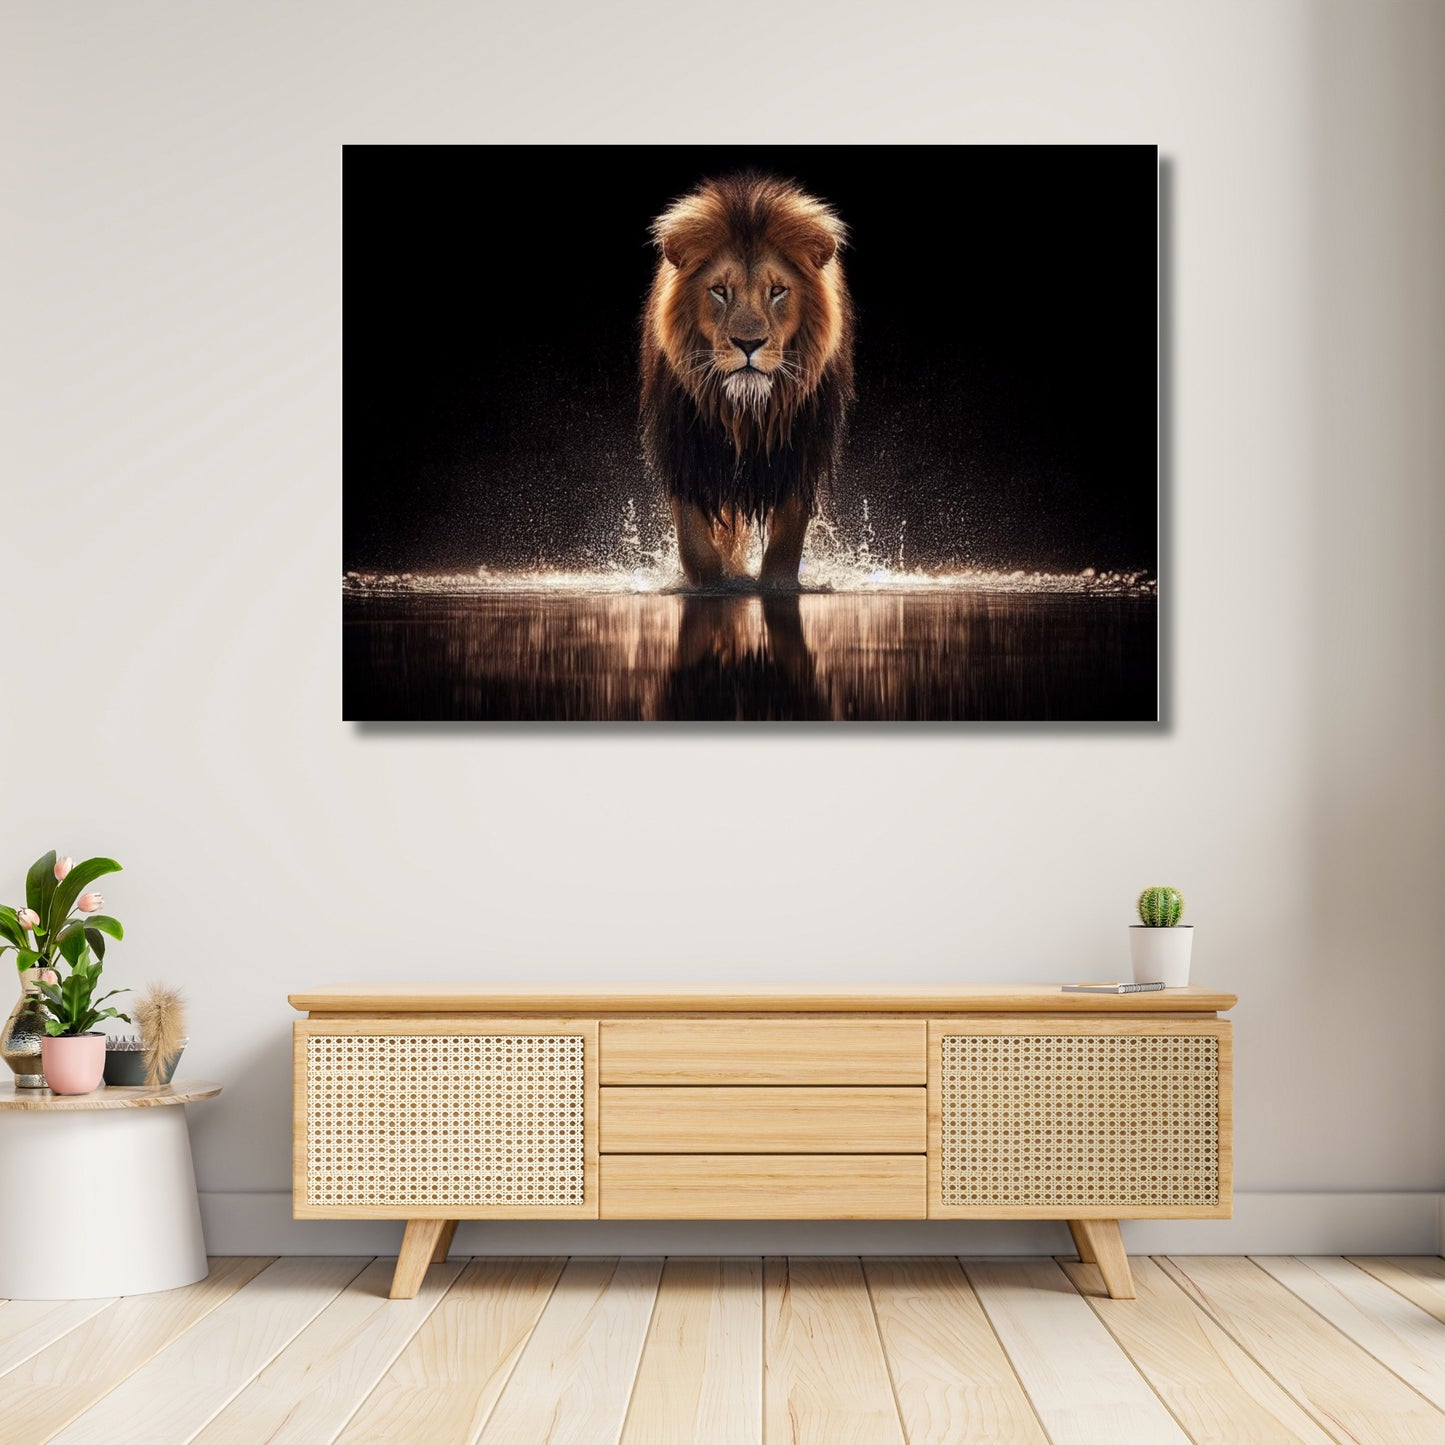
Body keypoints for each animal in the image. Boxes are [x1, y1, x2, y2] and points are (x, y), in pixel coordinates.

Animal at [640, 172, 855, 588]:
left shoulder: (799, 451)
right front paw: (717, 584)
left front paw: (776, 585)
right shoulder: (684, 450)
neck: (743, 413)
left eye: (777, 291)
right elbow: (696, 546)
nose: (748, 343)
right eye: (720, 290)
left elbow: (786, 544)